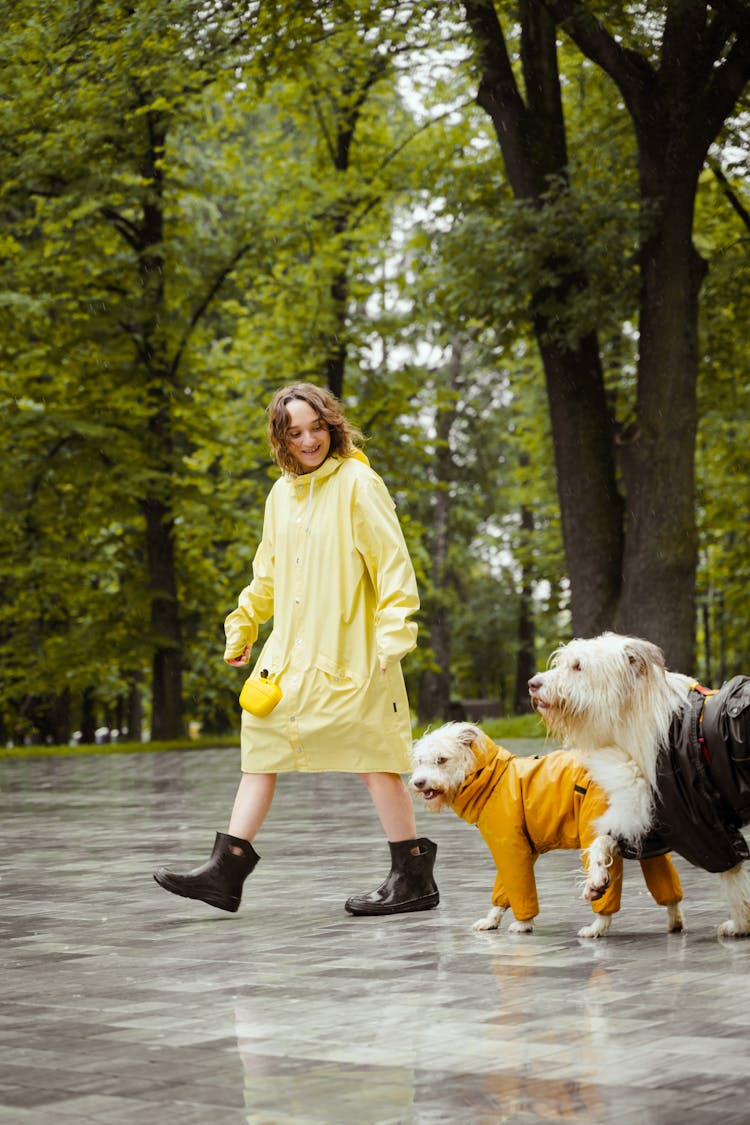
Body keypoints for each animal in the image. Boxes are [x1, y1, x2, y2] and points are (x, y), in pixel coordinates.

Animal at [413, 720, 683, 940]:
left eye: (441, 760)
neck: (492, 777)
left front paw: (523, 924)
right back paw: (675, 922)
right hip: (645, 836)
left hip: (597, 826)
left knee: (605, 884)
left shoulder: (511, 848)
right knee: (667, 886)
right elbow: (504, 889)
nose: (417, 782)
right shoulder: (517, 849)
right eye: (420, 761)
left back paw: (596, 925)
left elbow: (520, 890)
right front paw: (492, 920)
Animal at [528, 634, 750, 940]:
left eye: (578, 666)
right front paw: (597, 877)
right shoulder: (655, 816)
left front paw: (741, 924)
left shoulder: (702, 825)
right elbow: (605, 837)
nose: (532, 683)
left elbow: (734, 879)